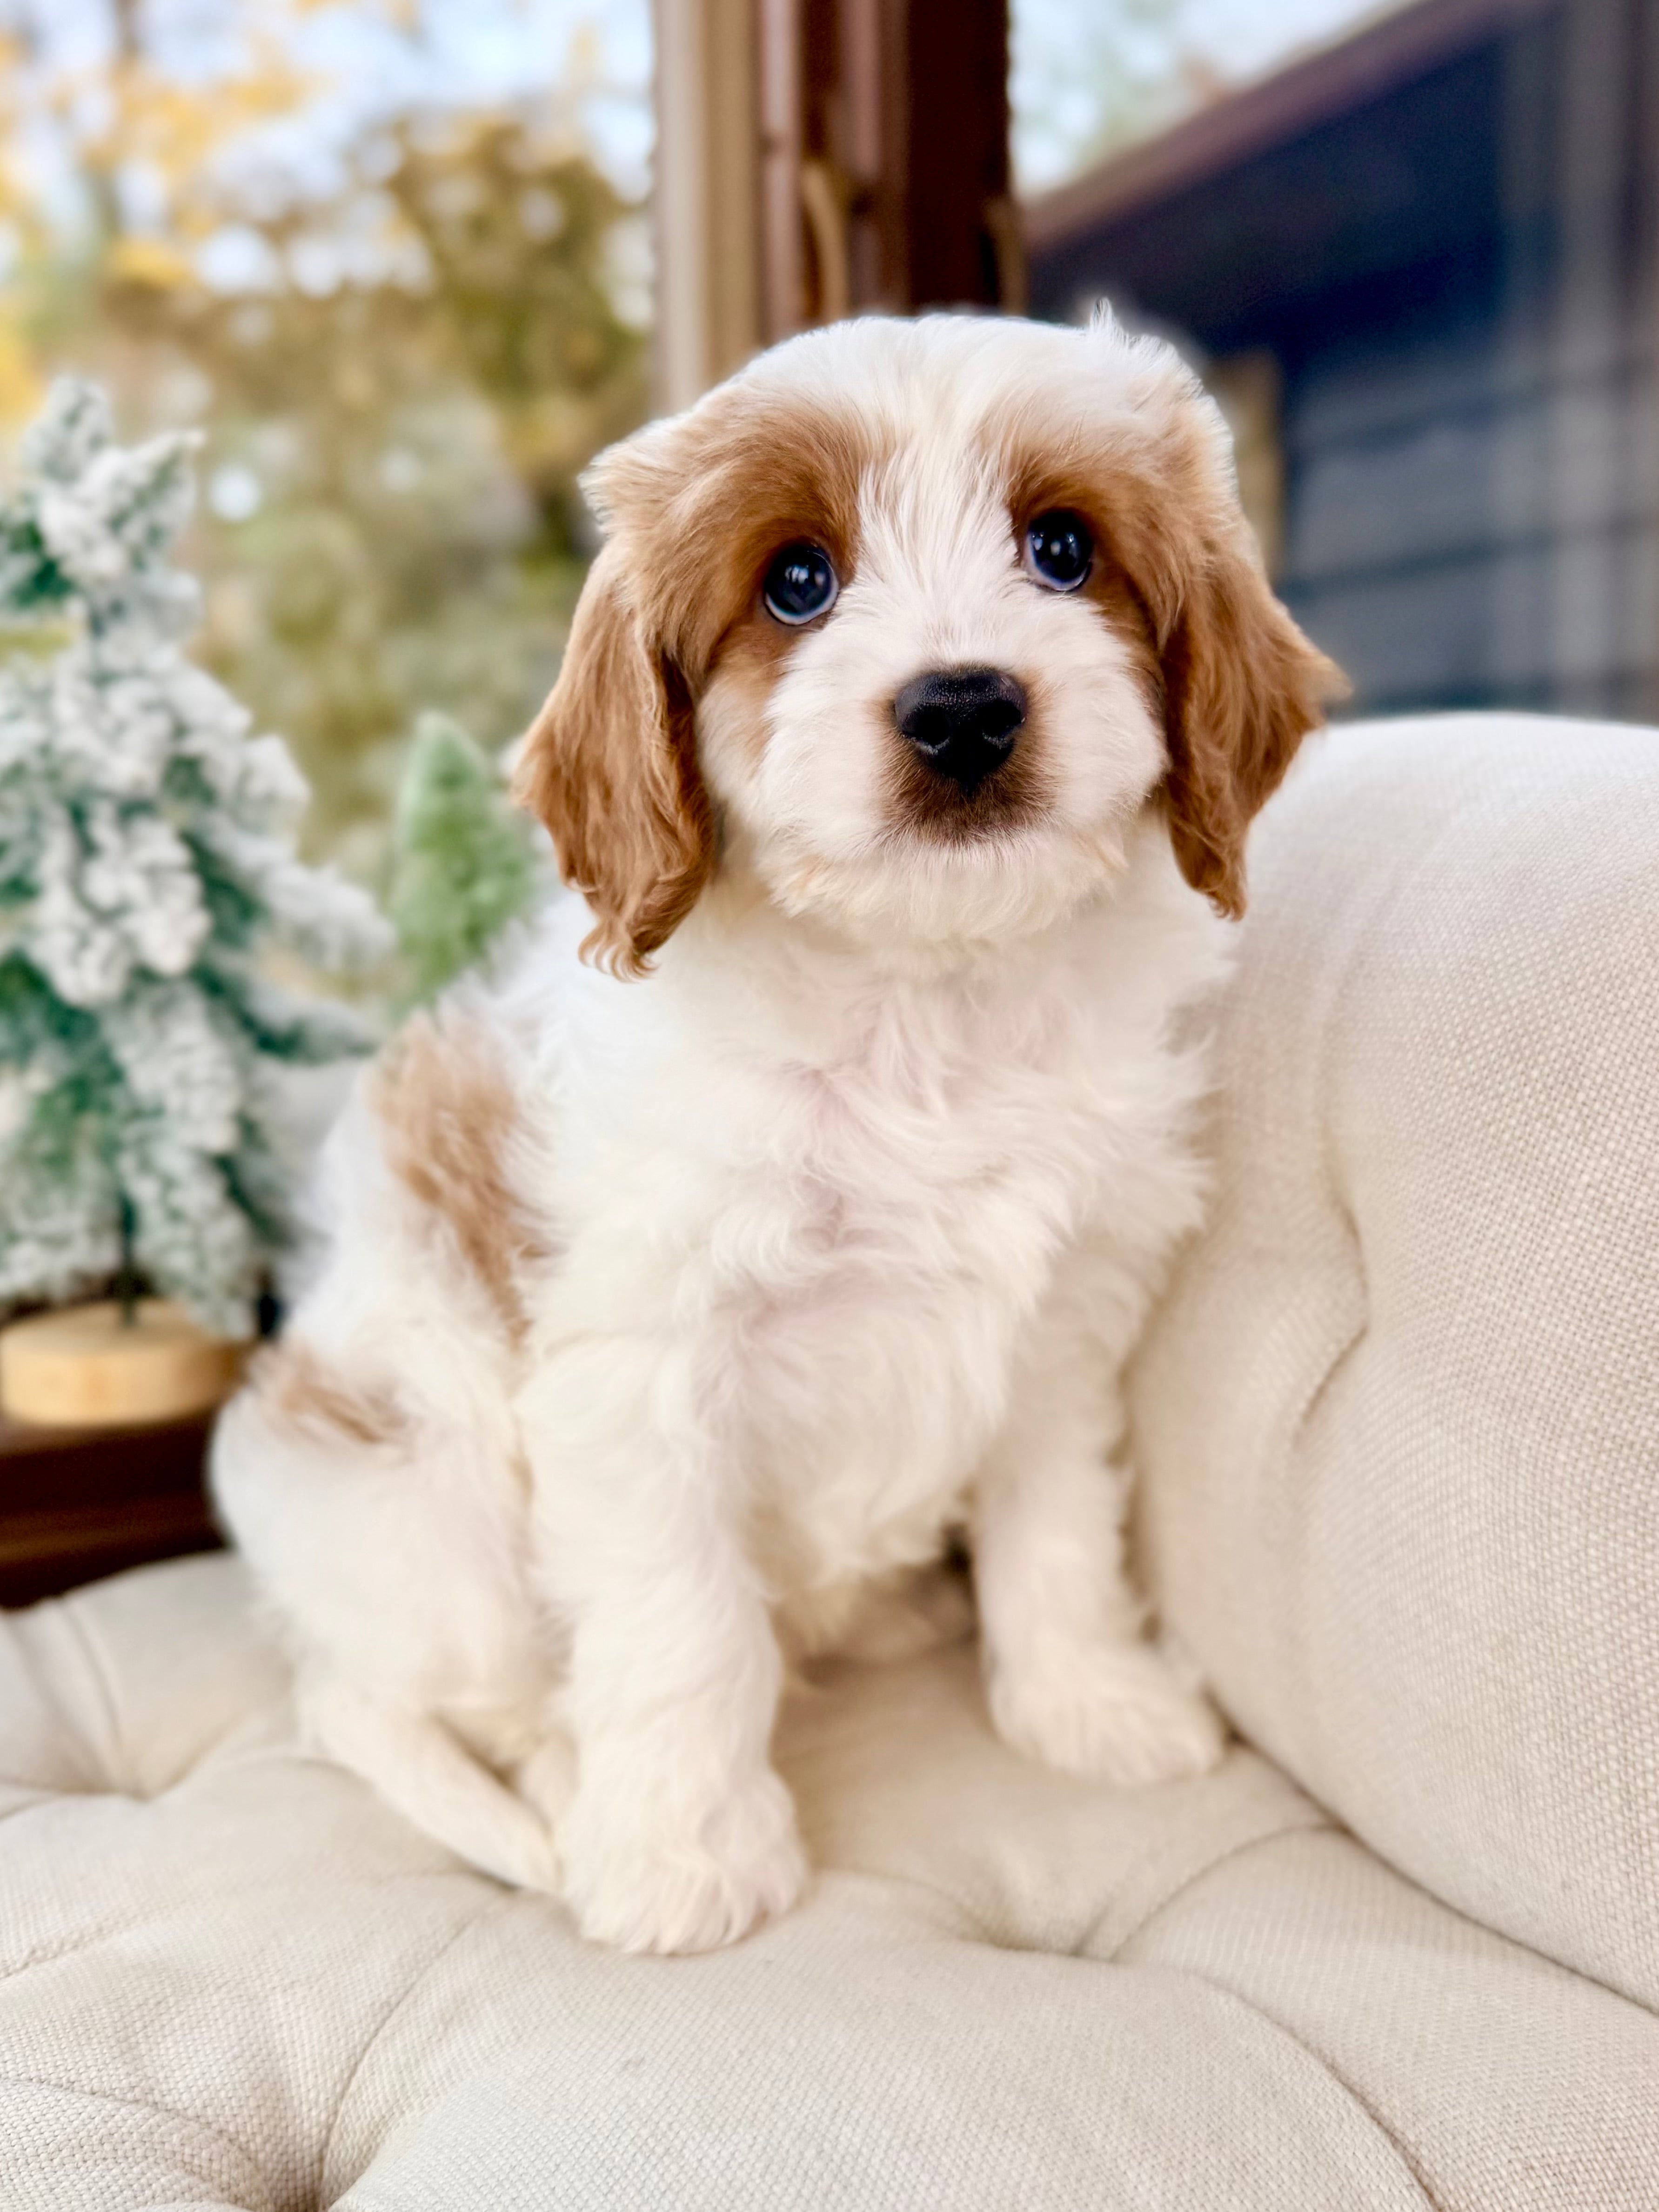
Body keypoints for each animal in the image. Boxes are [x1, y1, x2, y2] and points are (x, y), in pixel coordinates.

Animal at [213, 310, 1337, 1954]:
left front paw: (1087, 1700)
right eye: (796, 583)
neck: (923, 996)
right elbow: (683, 1624)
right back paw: (570, 1791)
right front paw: (683, 1859)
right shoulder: (644, 1370)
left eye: (1062, 549)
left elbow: (1056, 1521)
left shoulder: (1061, 1323)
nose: (961, 707)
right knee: (436, 1697)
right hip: (419, 1508)